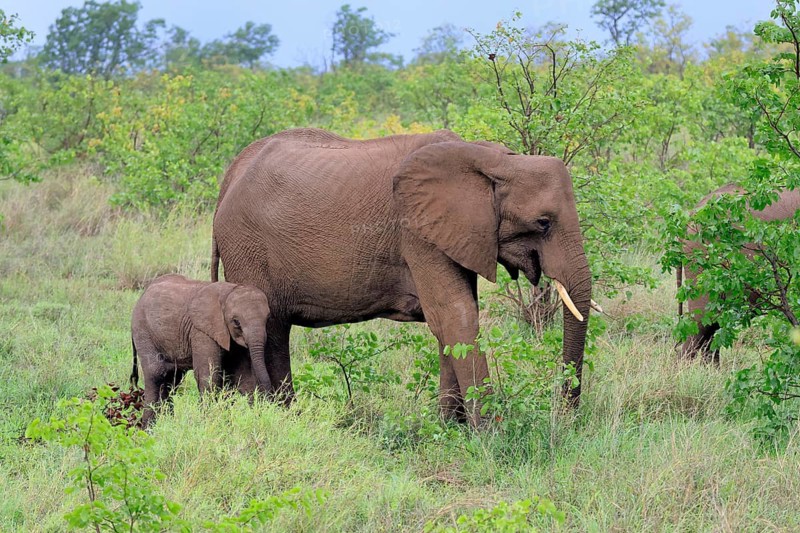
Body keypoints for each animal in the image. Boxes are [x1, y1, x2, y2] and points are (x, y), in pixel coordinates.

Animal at [130, 274, 272, 425]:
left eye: (267, 319)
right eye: (236, 322)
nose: (269, 402)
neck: (228, 291)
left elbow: (244, 376)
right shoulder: (201, 331)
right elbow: (208, 375)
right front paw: (209, 422)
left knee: (172, 379)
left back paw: (167, 423)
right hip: (142, 329)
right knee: (156, 373)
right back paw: (149, 427)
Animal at [211, 128, 593, 425]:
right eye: (543, 223)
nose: (566, 416)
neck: (493, 159)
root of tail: (229, 178)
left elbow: (452, 319)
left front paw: (449, 428)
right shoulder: (417, 233)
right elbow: (456, 315)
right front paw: (489, 433)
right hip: (247, 247)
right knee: (269, 331)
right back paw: (272, 415)